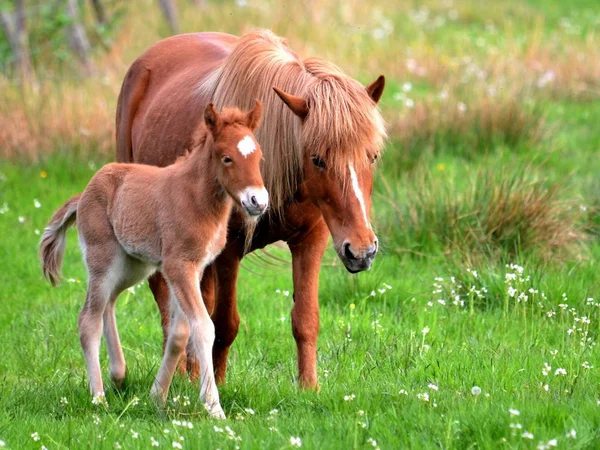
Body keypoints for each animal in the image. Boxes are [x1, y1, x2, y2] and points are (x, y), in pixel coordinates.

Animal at [41, 102, 266, 418]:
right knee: (88, 320)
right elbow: (203, 328)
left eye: (259, 157)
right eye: (227, 158)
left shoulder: (194, 269)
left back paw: (118, 374)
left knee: (109, 303)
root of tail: (84, 193)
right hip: (104, 260)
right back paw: (98, 397)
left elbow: (179, 333)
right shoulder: (178, 266)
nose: (259, 201)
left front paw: (157, 396)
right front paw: (213, 406)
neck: (195, 198)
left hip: (134, 265)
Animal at [116, 28, 386, 388]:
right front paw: (217, 384)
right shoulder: (228, 251)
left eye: (373, 156)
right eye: (318, 159)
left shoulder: (310, 241)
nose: (362, 251)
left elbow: (306, 319)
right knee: (167, 298)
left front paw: (309, 387)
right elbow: (224, 324)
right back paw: (179, 374)